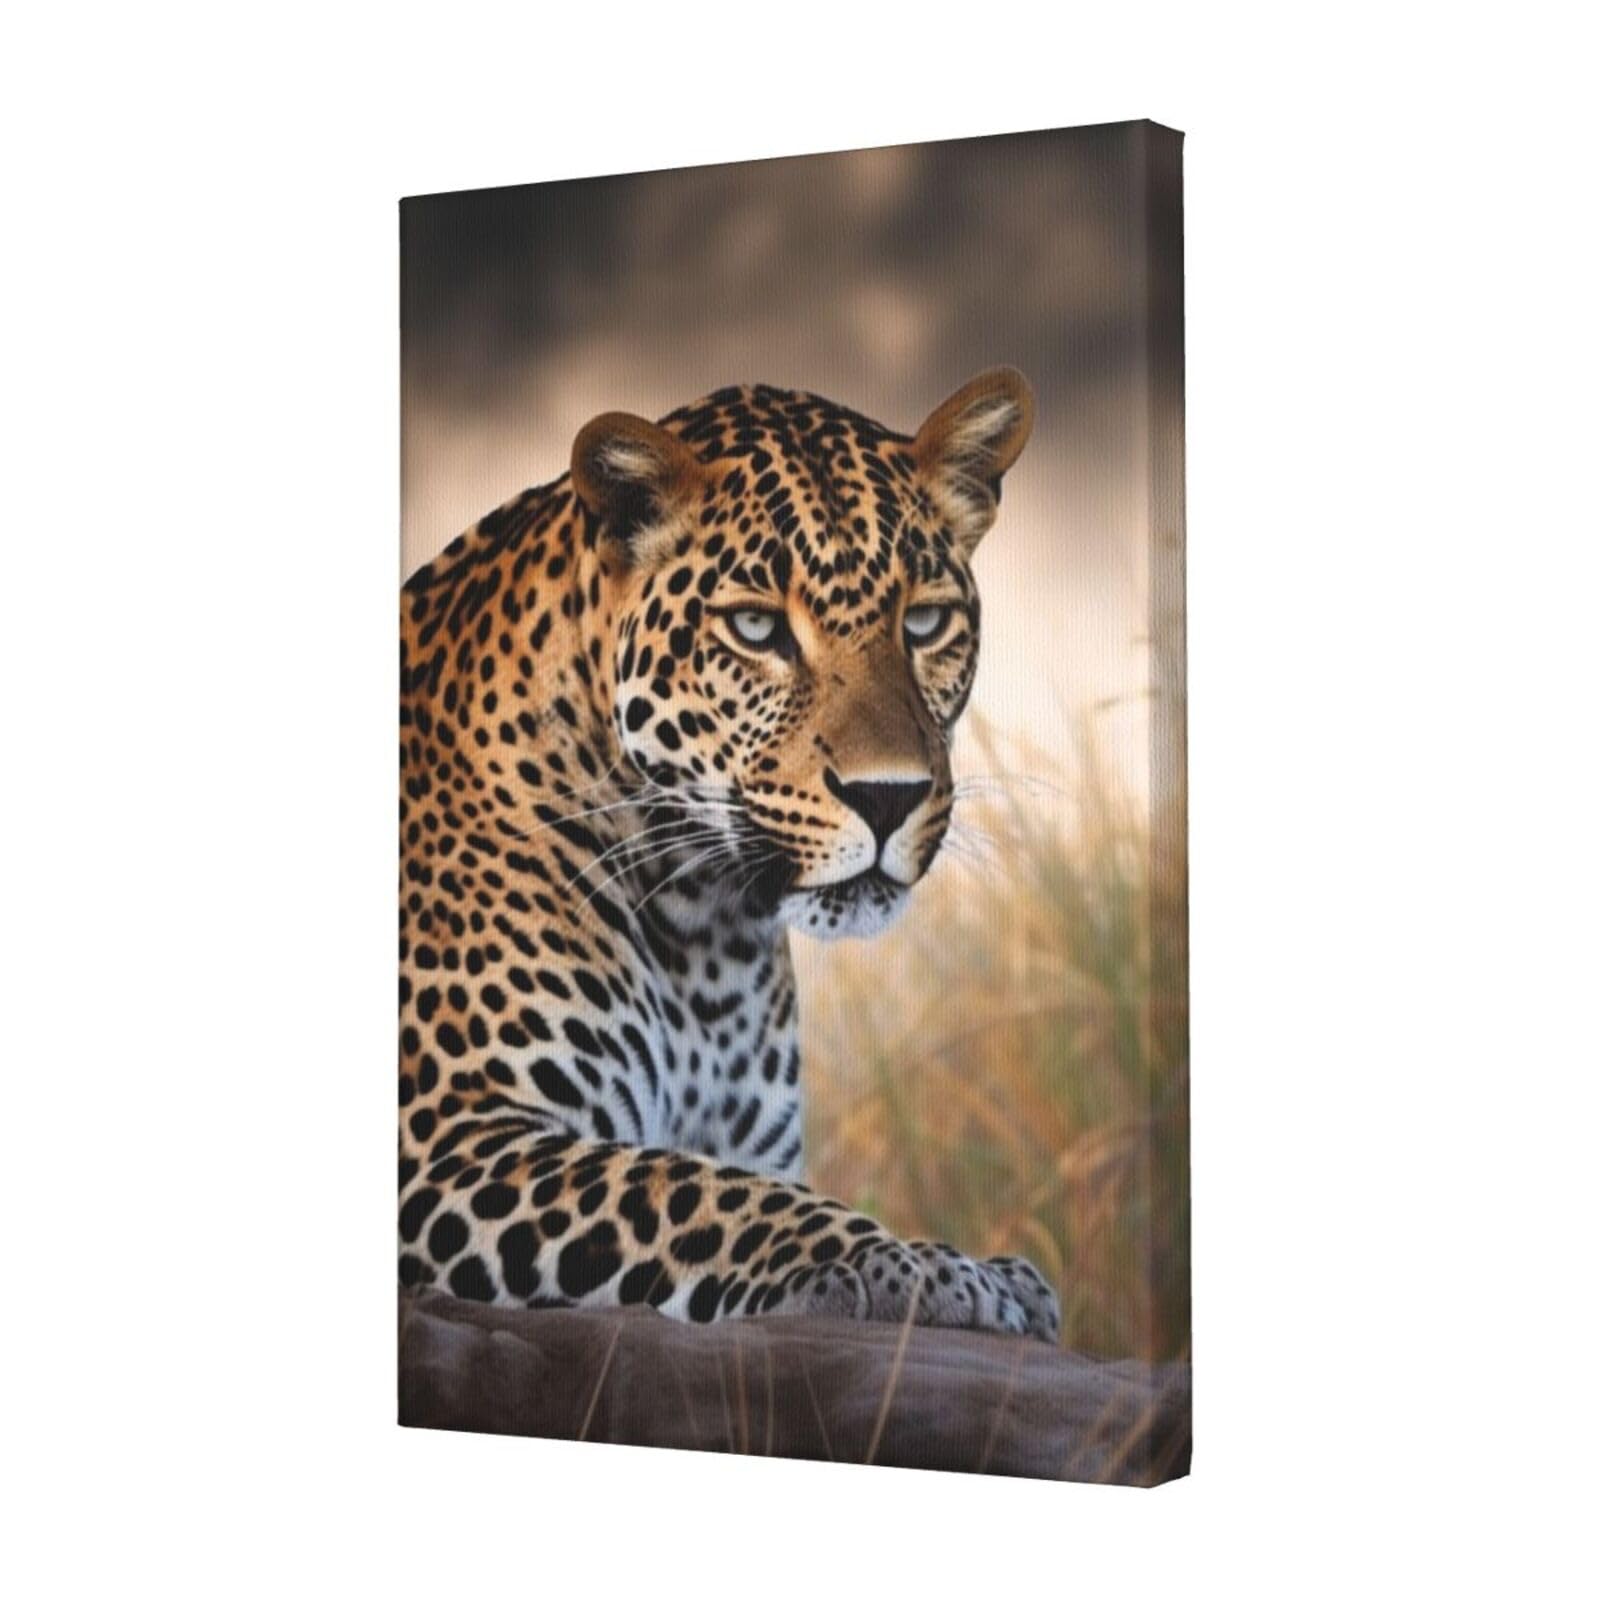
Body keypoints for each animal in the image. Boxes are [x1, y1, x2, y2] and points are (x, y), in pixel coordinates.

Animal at [399, 368, 1061, 1341]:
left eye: (926, 622)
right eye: (755, 629)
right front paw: (922, 1266)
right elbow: (693, 1192)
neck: (705, 928)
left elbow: (720, 1181)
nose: (889, 797)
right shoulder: (444, 1136)